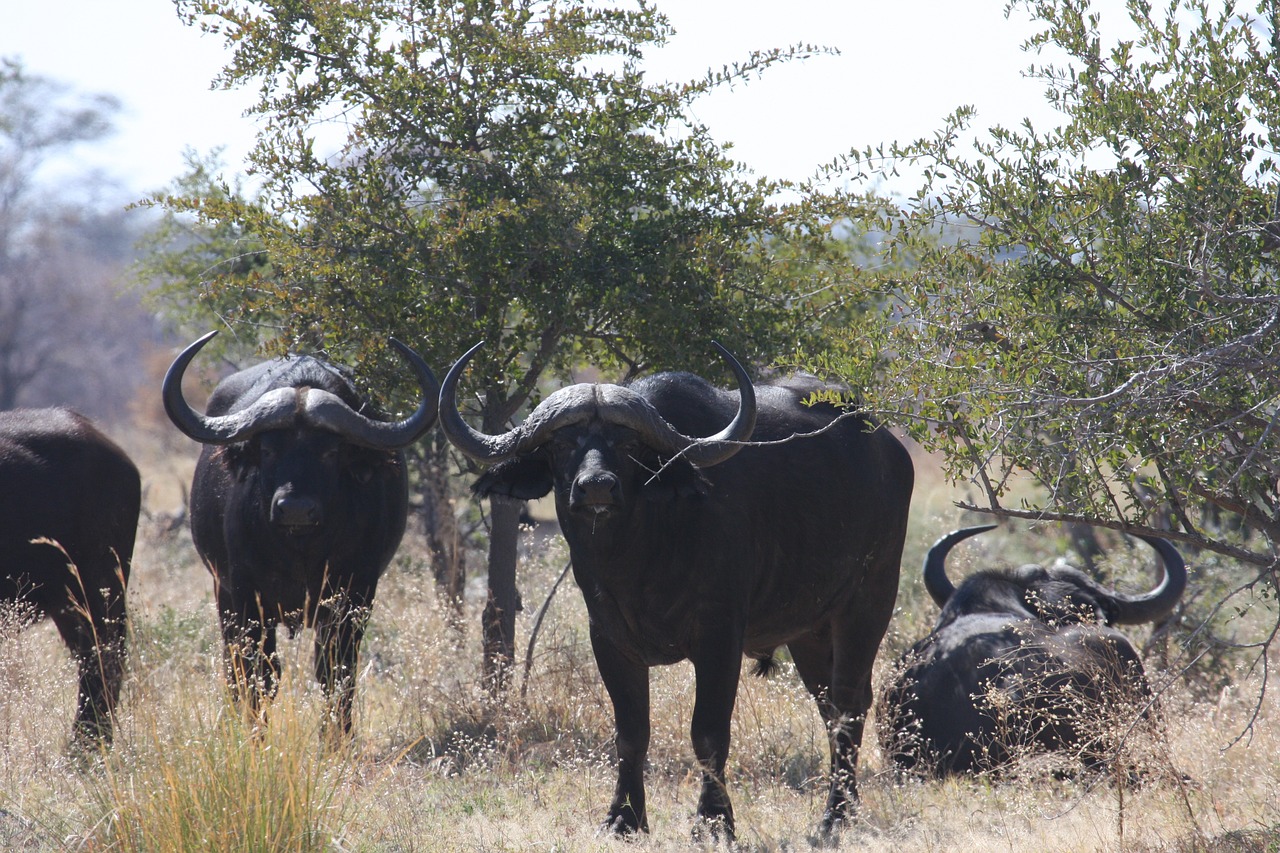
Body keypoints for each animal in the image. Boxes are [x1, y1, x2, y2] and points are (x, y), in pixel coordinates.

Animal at [162, 327, 440, 732]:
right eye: (268, 449)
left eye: (330, 452)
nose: (295, 508)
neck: (300, 550)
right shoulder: (245, 598)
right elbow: (259, 675)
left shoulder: (354, 597)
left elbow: (336, 674)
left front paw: (337, 737)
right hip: (222, 592)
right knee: (235, 666)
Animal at [440, 340, 911, 835]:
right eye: (562, 443)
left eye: (627, 444)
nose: (596, 488)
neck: (640, 557)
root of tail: (889, 450)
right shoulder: (609, 640)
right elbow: (631, 731)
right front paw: (624, 818)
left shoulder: (719, 638)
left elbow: (708, 732)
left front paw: (714, 820)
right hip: (809, 632)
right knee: (830, 708)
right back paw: (847, 807)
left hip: (868, 603)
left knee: (850, 702)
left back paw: (833, 817)